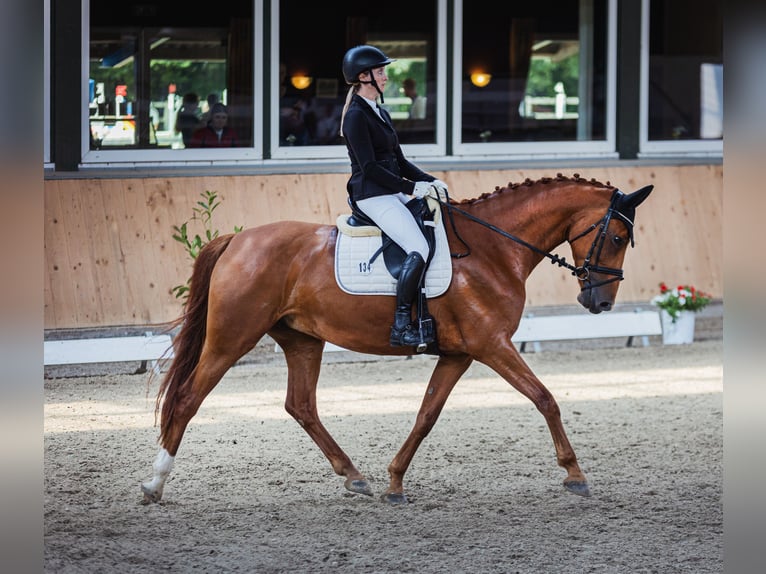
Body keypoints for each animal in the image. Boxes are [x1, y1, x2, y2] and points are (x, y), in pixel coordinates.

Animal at [140, 174, 656, 504]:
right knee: (187, 398)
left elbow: (426, 415)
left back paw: (354, 477)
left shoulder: (460, 354)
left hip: (302, 340)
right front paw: (575, 475)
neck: (493, 248)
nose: (599, 302)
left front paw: (394, 482)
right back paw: (155, 486)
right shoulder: (492, 345)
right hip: (232, 338)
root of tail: (236, 239)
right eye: (615, 237)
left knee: (301, 405)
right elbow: (545, 398)